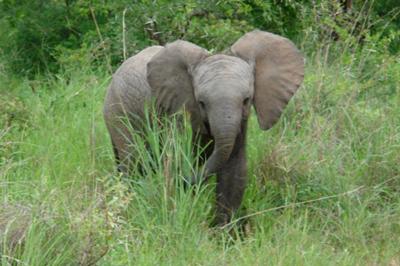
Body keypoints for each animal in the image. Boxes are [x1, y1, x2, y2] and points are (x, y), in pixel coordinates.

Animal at [102, 29, 304, 224]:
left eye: (247, 100)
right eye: (201, 103)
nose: (187, 180)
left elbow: (235, 166)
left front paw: (223, 231)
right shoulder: (172, 108)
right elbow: (173, 155)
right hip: (117, 110)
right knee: (131, 159)